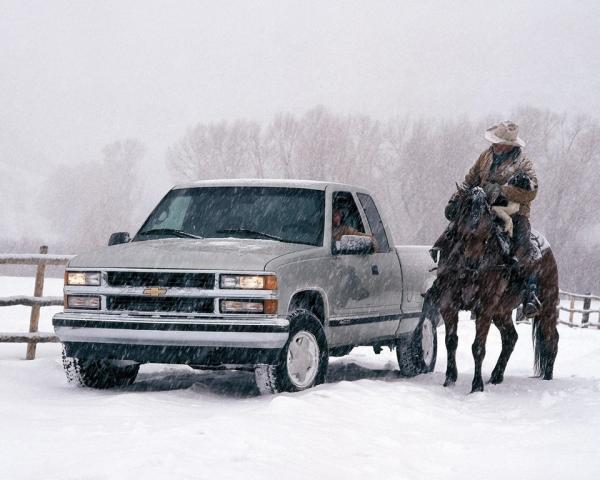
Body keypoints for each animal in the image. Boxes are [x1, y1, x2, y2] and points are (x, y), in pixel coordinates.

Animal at [434, 186, 560, 392]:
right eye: (465, 207)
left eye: (486, 211)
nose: (471, 231)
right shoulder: (448, 304)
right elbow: (451, 341)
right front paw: (450, 378)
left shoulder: (484, 308)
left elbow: (478, 347)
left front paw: (476, 386)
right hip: (502, 312)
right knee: (511, 338)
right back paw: (496, 375)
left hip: (548, 305)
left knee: (551, 338)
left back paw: (547, 377)